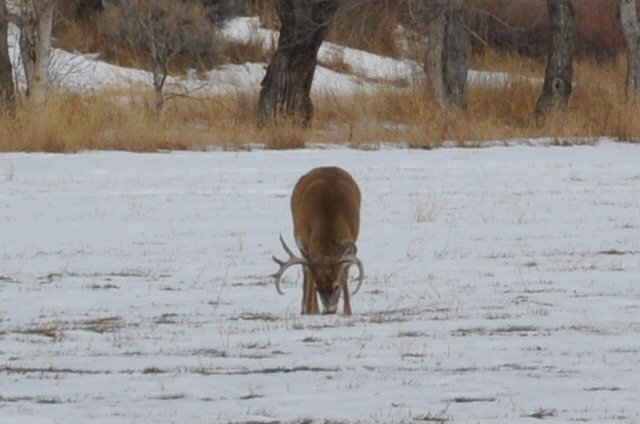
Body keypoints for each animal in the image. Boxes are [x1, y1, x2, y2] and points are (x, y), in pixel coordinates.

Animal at [272, 166, 364, 314]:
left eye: (336, 286)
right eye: (317, 287)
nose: (329, 310)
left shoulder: (351, 241)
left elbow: (346, 271)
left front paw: (347, 311)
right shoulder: (304, 242)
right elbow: (309, 272)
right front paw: (311, 309)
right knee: (305, 270)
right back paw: (306, 308)